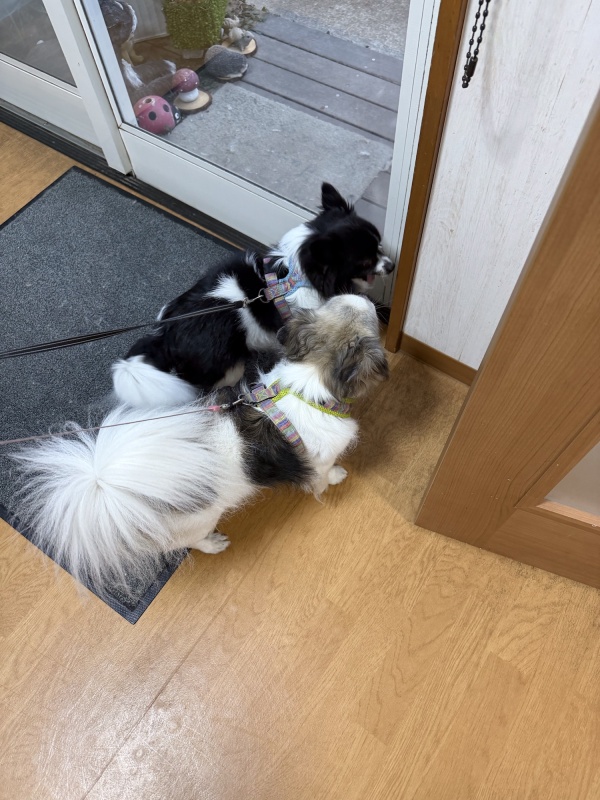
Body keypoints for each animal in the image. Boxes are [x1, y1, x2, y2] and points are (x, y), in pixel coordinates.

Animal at [14, 295, 388, 598]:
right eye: (370, 317)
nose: (368, 298)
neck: (309, 387)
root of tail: (107, 481)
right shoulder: (320, 461)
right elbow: (323, 476)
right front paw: (337, 477)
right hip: (199, 523)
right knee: (190, 542)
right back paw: (214, 544)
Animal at [112, 182, 393, 409]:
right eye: (366, 261)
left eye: (380, 246)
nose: (391, 266)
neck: (296, 276)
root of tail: (164, 334)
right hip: (228, 364)